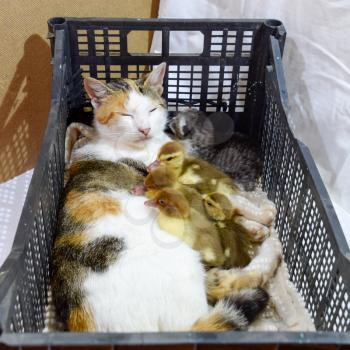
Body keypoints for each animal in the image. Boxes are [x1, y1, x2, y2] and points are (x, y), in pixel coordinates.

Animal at [53, 64, 270, 332]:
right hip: (186, 264)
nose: (145, 129)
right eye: (126, 115)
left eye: (152, 109)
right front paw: (263, 218)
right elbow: (232, 200)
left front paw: (253, 225)